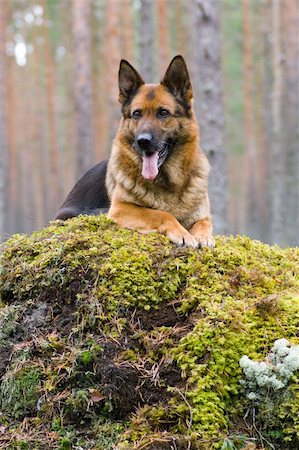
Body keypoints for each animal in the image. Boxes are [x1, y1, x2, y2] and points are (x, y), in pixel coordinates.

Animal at [55, 55, 214, 250]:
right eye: (137, 114)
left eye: (163, 113)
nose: (143, 141)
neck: (169, 183)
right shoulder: (120, 209)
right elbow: (161, 214)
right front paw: (182, 233)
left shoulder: (203, 215)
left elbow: (204, 223)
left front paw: (203, 236)